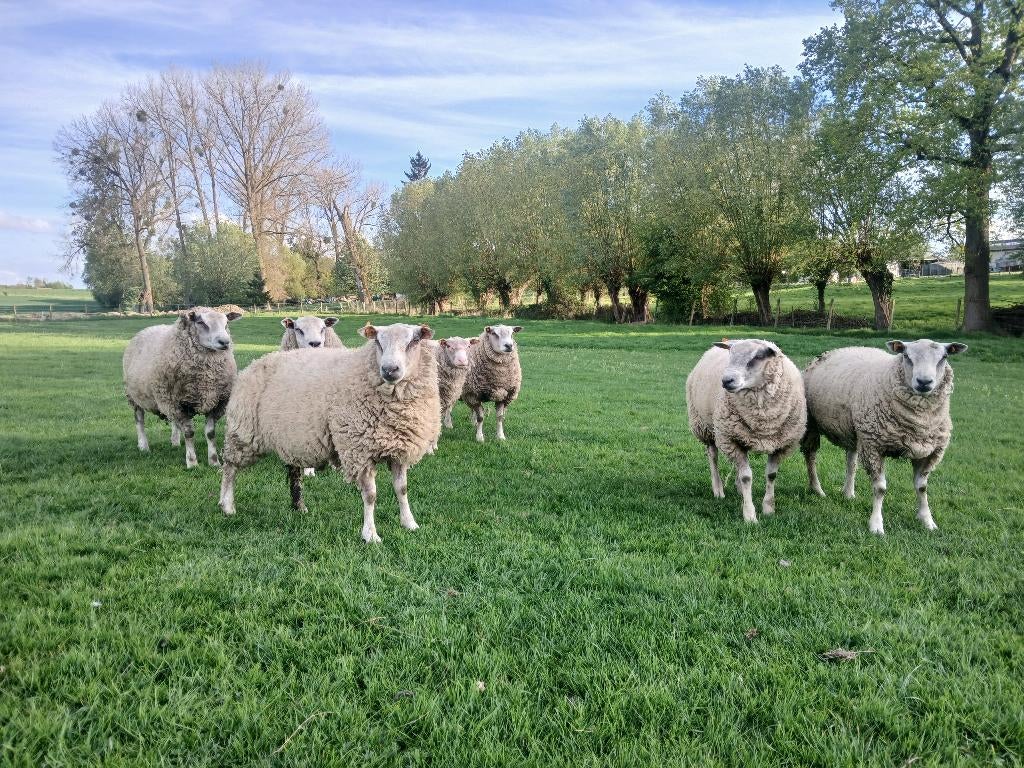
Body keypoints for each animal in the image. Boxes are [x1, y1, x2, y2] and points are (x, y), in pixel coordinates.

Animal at [123, 307, 242, 469]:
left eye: (226, 323)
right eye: (200, 322)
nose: (225, 342)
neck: (206, 378)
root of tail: (146, 329)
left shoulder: (216, 403)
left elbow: (210, 433)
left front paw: (214, 461)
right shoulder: (178, 403)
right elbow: (189, 433)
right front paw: (192, 462)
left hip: (168, 398)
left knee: (173, 421)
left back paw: (175, 442)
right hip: (135, 396)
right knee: (139, 420)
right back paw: (143, 446)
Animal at [218, 323, 441, 543]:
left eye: (414, 341)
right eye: (378, 341)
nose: (389, 369)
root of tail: (255, 363)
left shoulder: (399, 451)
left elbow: (401, 489)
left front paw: (409, 523)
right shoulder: (359, 451)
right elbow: (370, 495)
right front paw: (370, 534)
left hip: (290, 437)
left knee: (293, 472)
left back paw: (298, 507)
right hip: (244, 431)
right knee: (229, 467)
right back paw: (226, 505)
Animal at [685, 339, 807, 523]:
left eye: (756, 357)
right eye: (730, 356)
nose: (726, 381)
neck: (763, 419)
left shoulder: (780, 444)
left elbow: (771, 475)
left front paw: (768, 508)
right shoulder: (731, 438)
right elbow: (746, 477)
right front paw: (749, 515)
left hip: (741, 436)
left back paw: (739, 490)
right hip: (706, 427)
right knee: (713, 456)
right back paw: (718, 489)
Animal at [801, 339, 968, 535]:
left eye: (944, 357)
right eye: (906, 356)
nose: (924, 382)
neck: (919, 421)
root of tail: (837, 350)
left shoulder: (929, 452)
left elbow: (922, 487)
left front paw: (927, 521)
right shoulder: (874, 447)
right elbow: (880, 489)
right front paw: (876, 525)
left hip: (857, 432)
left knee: (851, 462)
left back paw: (848, 493)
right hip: (813, 424)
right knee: (811, 456)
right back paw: (817, 489)